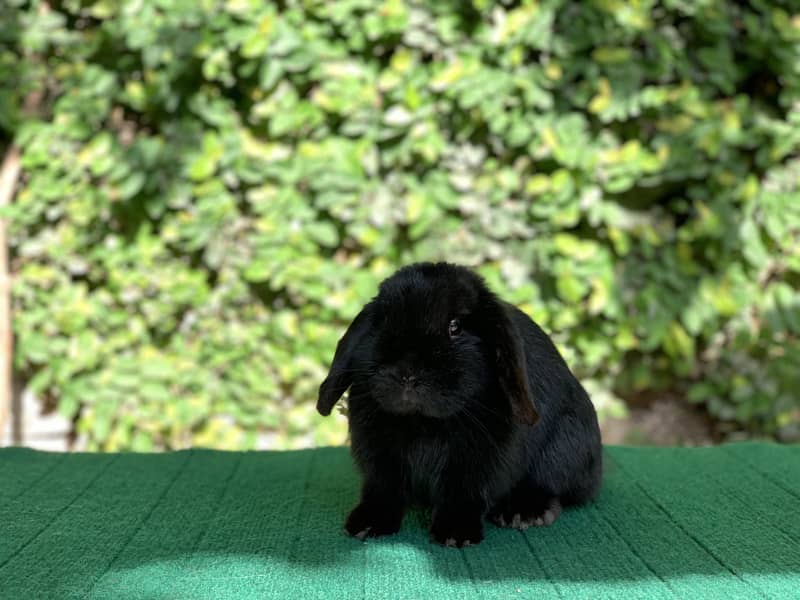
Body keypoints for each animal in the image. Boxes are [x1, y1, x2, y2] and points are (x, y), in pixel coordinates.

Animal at [318, 262, 600, 548]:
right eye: (383, 320)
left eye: (455, 327)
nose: (407, 374)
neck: (422, 422)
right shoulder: (380, 458)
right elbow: (382, 490)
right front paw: (367, 524)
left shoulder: (475, 462)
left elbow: (463, 494)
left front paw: (456, 533)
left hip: (563, 449)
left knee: (552, 487)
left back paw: (524, 513)